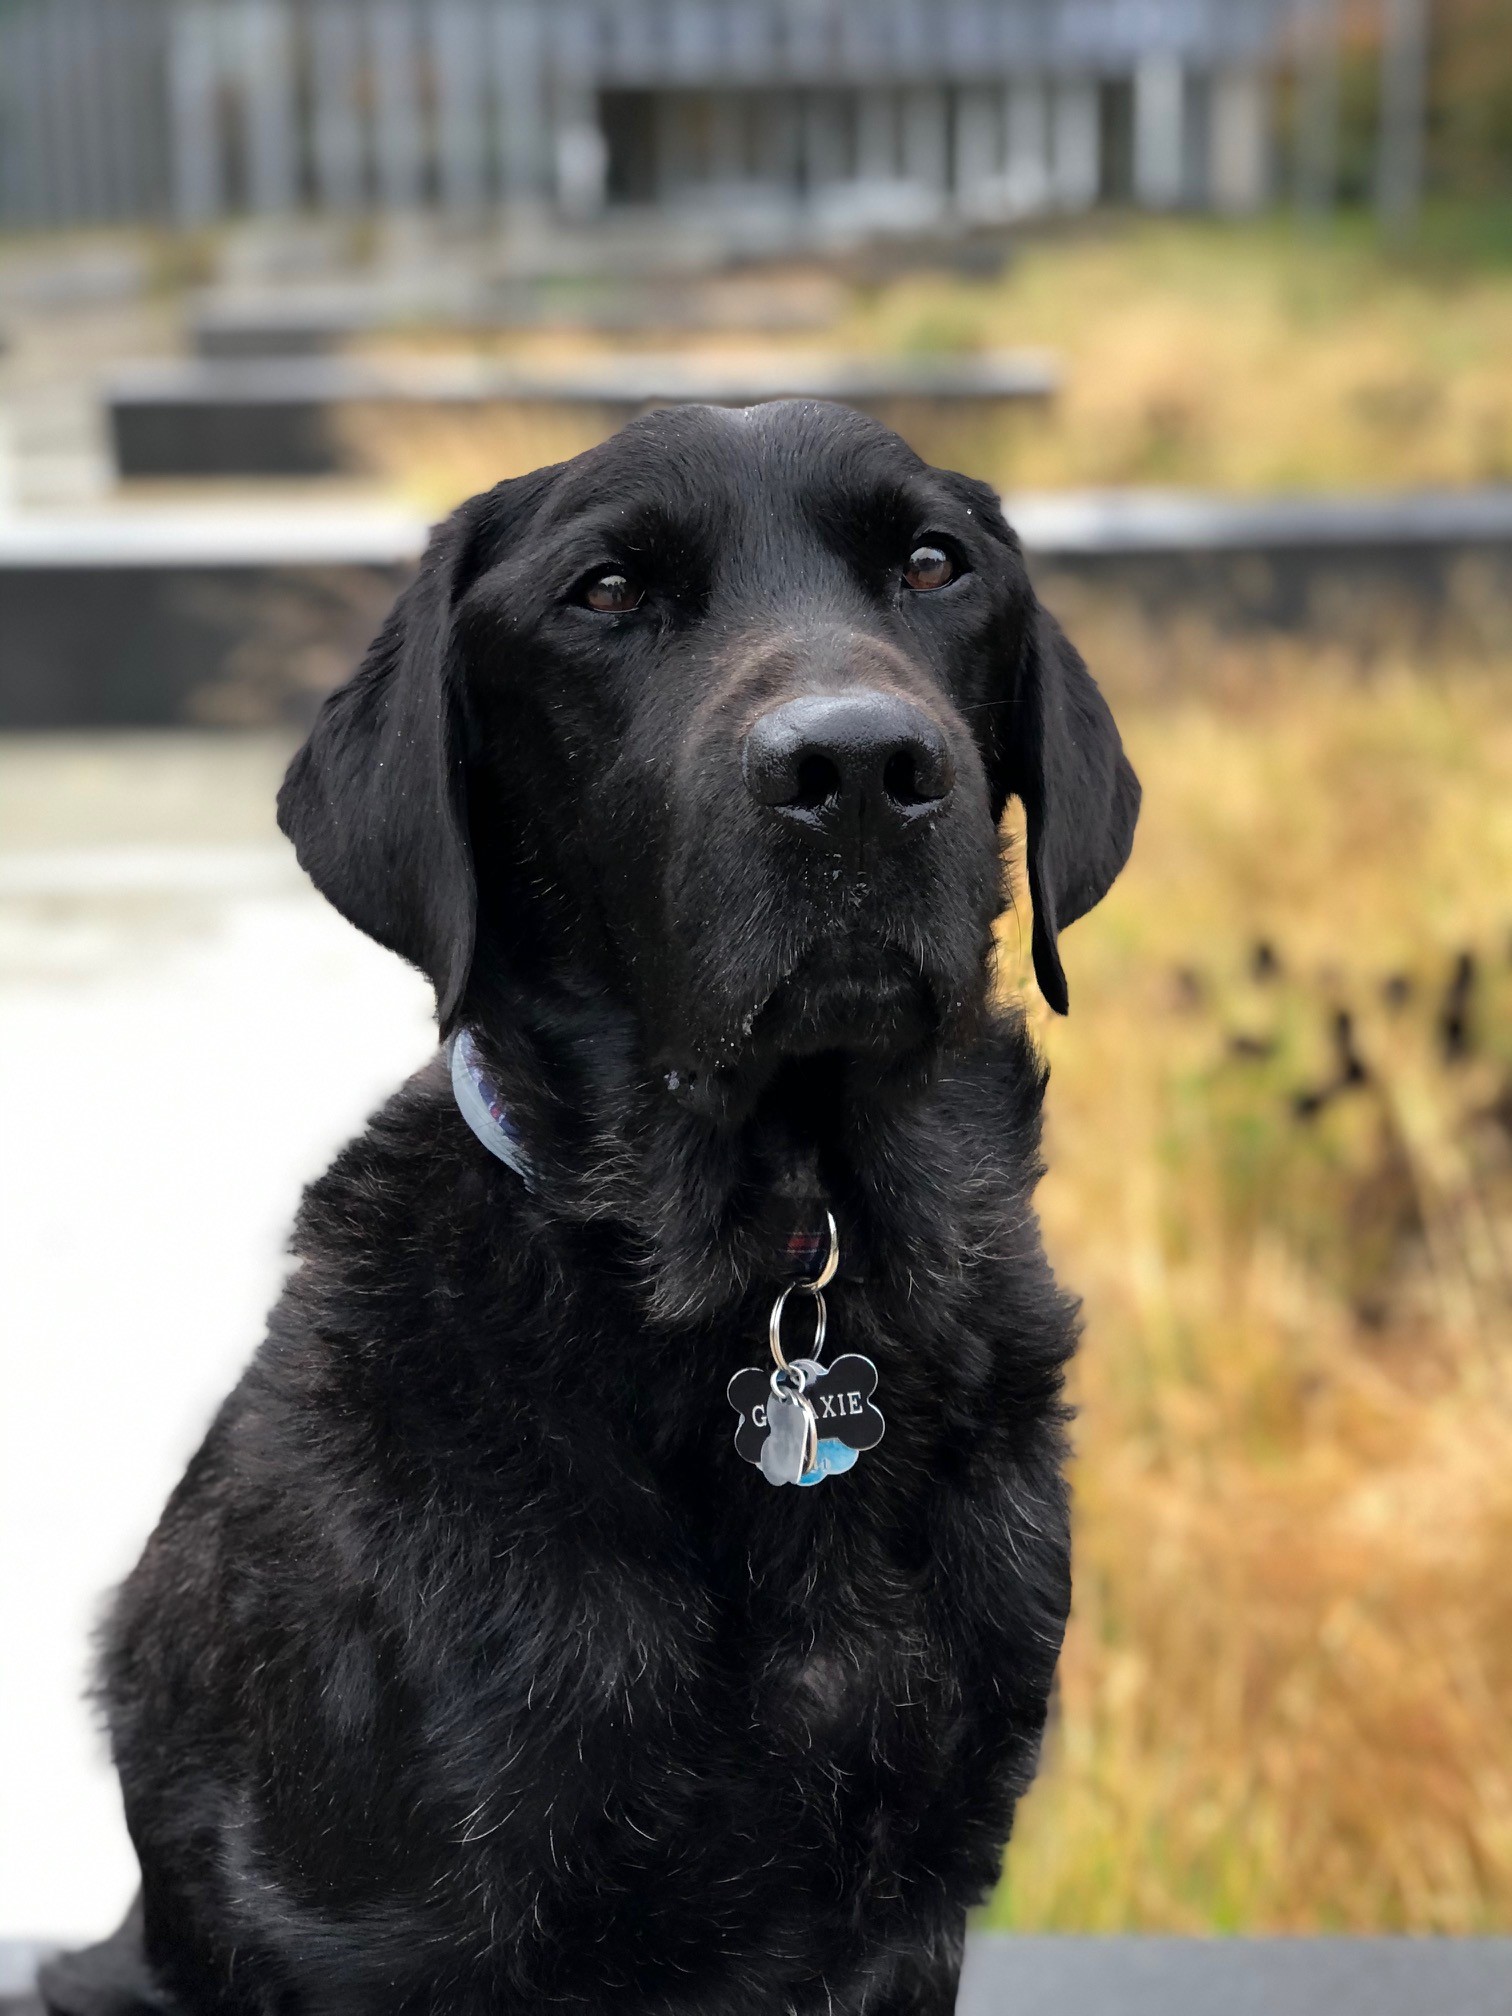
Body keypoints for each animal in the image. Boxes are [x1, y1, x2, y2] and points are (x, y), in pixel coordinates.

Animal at [41, 397, 1137, 2016]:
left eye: (935, 565)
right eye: (606, 593)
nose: (859, 768)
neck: (776, 1251)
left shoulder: (914, 1900)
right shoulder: (403, 1925)